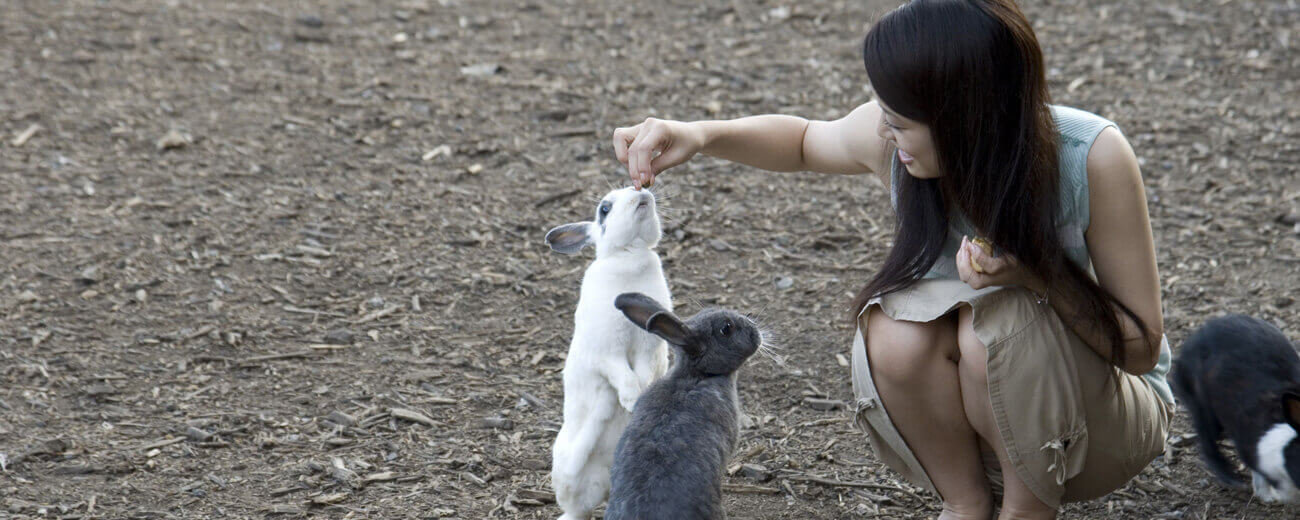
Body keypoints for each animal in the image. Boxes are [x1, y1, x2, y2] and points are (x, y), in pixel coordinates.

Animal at [546, 187, 676, 520]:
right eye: (605, 209)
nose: (640, 191)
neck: (630, 256)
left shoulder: (648, 348)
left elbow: (643, 371)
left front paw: (641, 399)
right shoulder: (607, 353)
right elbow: (623, 375)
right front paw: (631, 401)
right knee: (574, 510)